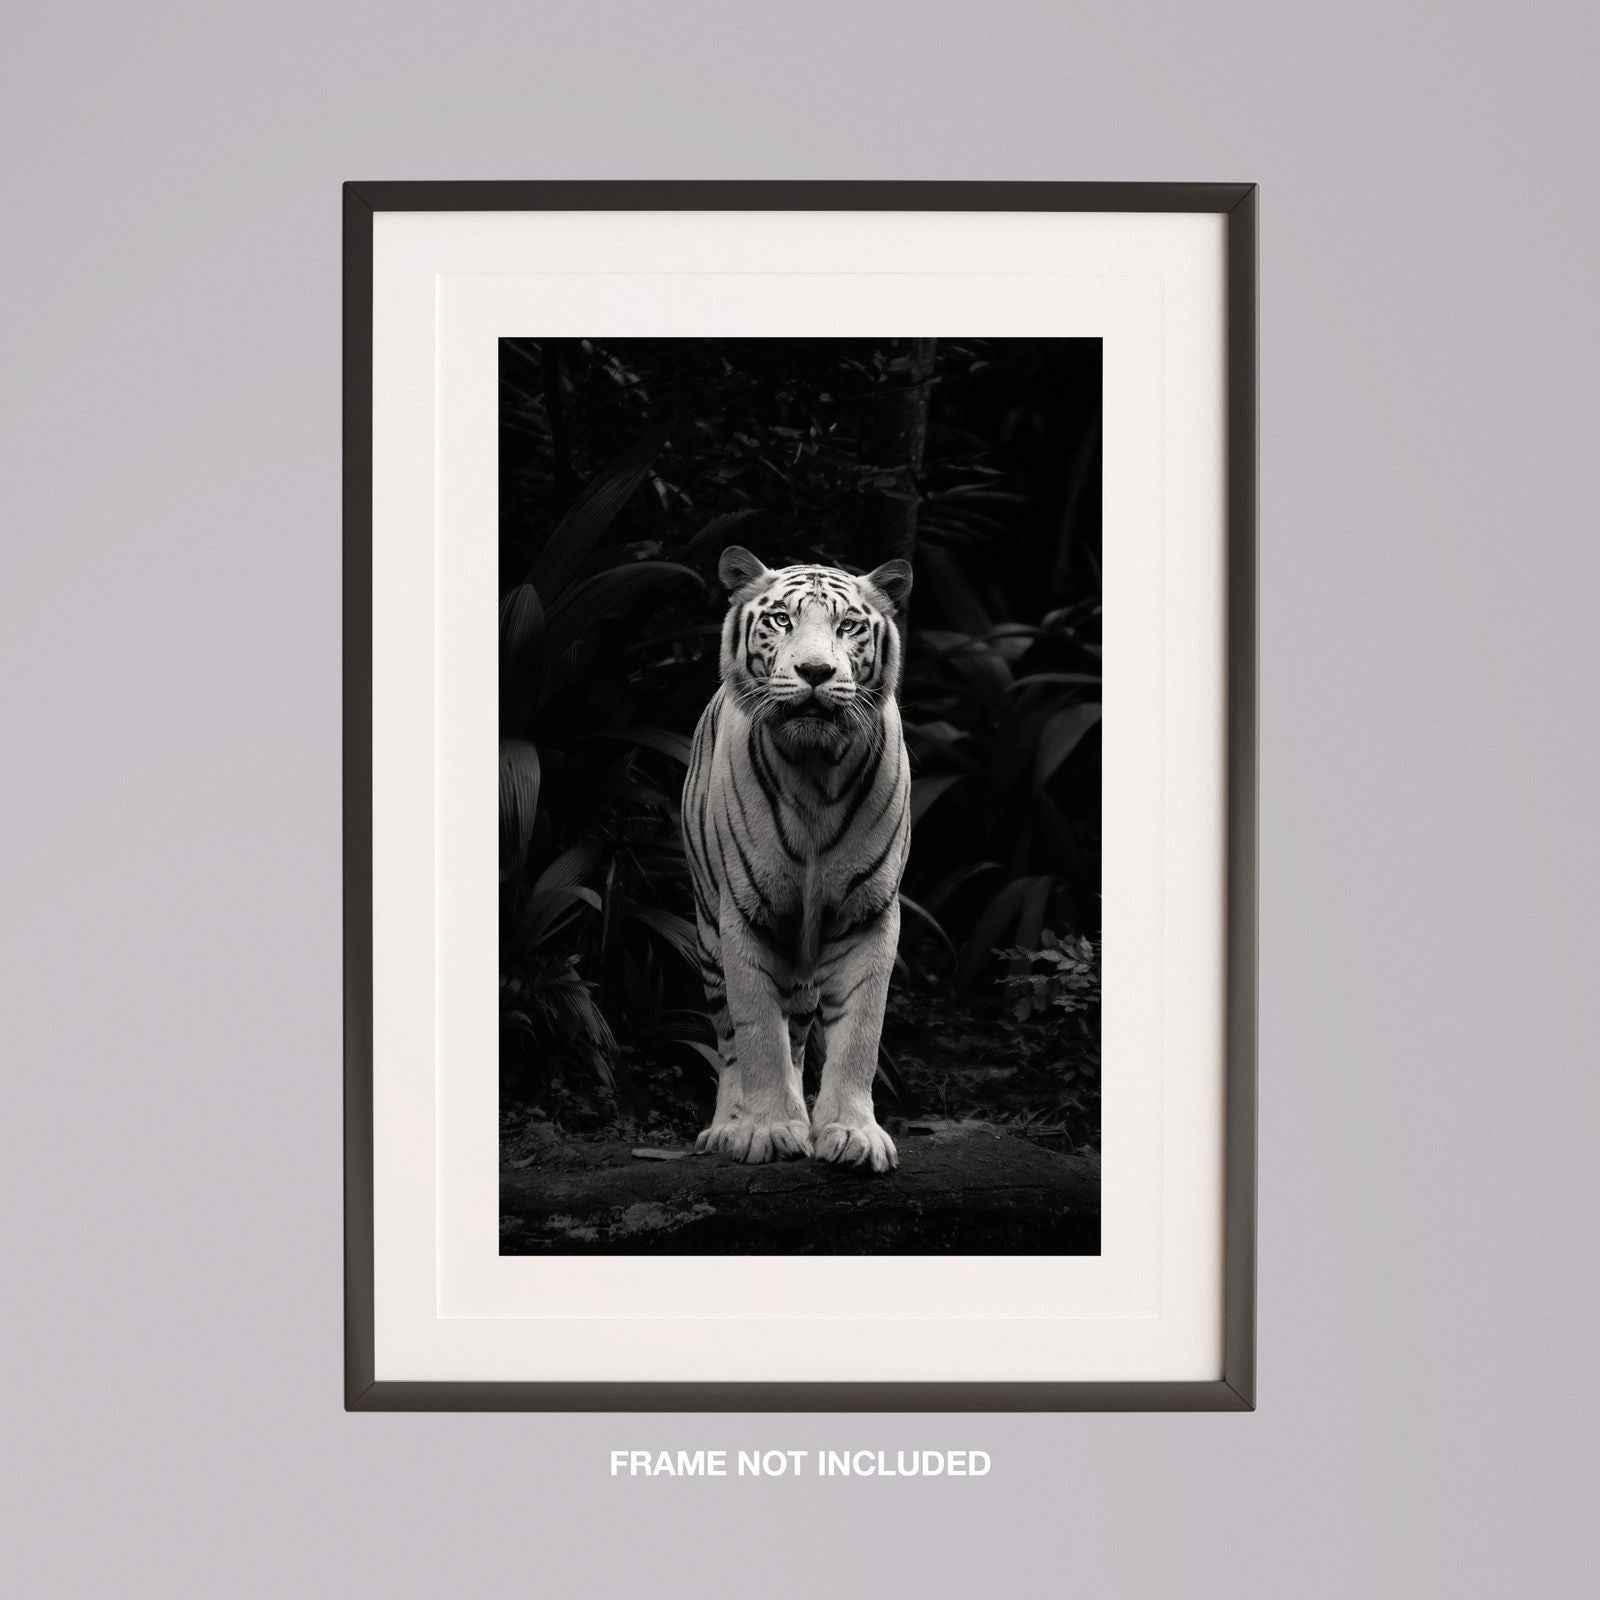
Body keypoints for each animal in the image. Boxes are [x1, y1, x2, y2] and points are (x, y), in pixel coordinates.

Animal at [680, 545, 913, 1171]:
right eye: (782, 619)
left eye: (848, 625)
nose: (815, 672)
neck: (815, 770)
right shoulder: (745, 914)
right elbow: (758, 1032)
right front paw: (766, 1129)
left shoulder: (868, 914)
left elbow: (860, 1033)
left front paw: (852, 1133)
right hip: (707, 933)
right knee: (729, 1040)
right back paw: (727, 1127)